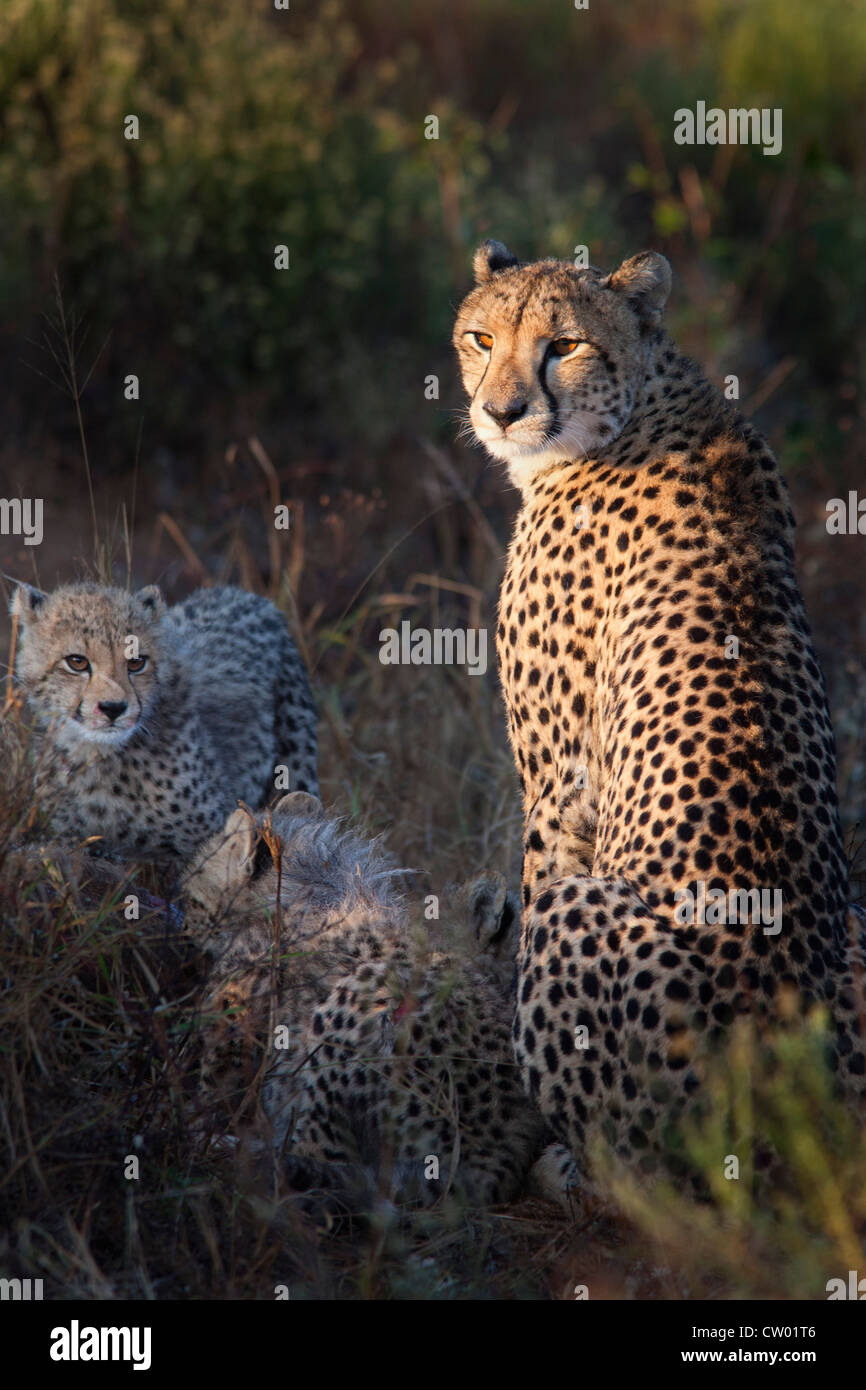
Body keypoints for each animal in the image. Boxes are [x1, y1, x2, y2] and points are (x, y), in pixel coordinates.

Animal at [453, 239, 866, 1206]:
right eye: (481, 337)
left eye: (563, 345)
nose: (500, 411)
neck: (644, 399)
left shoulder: (557, 786)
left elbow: (533, 882)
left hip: (584, 925)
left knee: (644, 1179)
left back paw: (570, 1163)